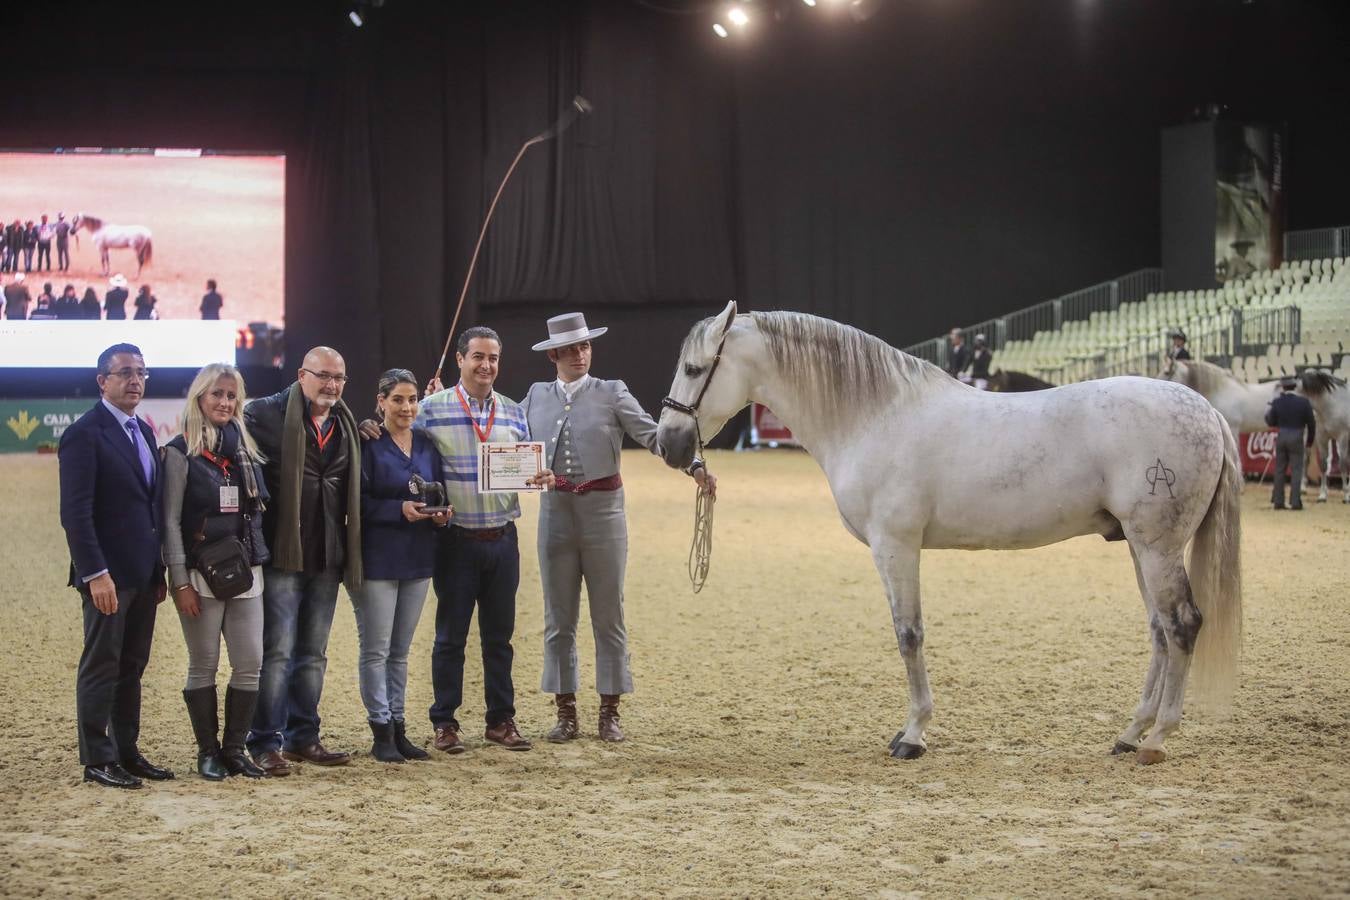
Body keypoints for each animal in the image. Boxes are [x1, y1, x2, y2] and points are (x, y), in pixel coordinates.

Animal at [658, 304, 1236, 766]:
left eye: (693, 368)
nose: (668, 444)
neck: (875, 416)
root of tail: (1206, 410)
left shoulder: (896, 546)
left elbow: (909, 635)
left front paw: (912, 736)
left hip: (1158, 547)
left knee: (1183, 625)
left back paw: (1157, 739)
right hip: (1140, 547)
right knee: (1159, 630)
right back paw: (1130, 733)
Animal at [1296, 369, 1350, 504]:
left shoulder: (1343, 437)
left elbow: (1343, 464)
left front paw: (1346, 496)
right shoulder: (1322, 438)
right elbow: (1323, 465)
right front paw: (1322, 495)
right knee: (1305, 459)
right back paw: (1302, 488)